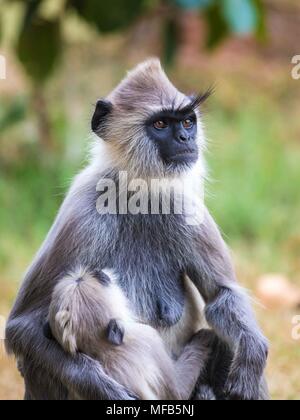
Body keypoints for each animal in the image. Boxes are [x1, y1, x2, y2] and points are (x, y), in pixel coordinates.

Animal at [47, 270, 213, 400]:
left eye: (81, 280)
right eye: (103, 281)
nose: (99, 272)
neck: (105, 350)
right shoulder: (148, 339)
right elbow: (178, 392)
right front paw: (206, 334)